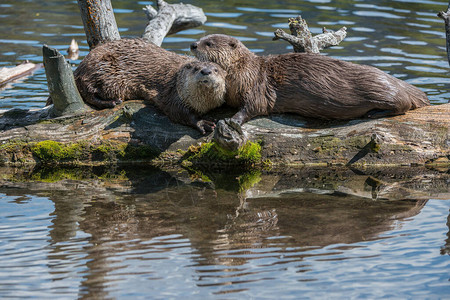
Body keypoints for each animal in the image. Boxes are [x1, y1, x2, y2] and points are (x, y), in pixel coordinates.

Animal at [189, 34, 428, 125]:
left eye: (208, 42)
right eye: (200, 38)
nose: (192, 44)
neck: (243, 71)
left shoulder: (256, 86)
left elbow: (254, 107)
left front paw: (232, 120)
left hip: (380, 88)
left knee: (403, 104)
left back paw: (373, 113)